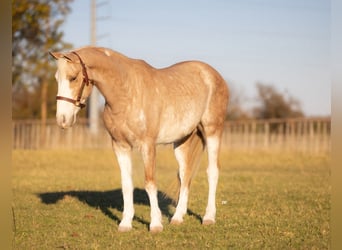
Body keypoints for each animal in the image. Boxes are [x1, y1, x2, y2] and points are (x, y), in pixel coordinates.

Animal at [49, 47, 228, 232]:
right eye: (57, 78)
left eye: (73, 77)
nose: (62, 120)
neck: (126, 94)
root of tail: (212, 74)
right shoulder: (120, 146)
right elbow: (126, 184)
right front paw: (125, 223)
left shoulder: (147, 146)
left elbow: (150, 183)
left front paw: (155, 224)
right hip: (182, 141)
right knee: (185, 174)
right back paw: (177, 218)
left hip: (213, 131)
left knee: (212, 171)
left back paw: (208, 217)